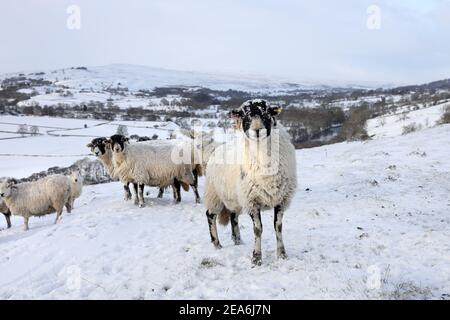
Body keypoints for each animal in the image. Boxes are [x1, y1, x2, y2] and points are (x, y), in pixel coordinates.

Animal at [203, 99, 296, 264]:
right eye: (245, 115)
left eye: (266, 113)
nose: (257, 130)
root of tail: (217, 149)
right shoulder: (252, 201)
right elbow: (258, 229)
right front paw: (256, 258)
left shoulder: (281, 199)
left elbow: (278, 227)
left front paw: (282, 254)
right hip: (214, 195)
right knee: (210, 215)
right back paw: (217, 244)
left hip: (234, 198)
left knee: (233, 217)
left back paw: (237, 240)